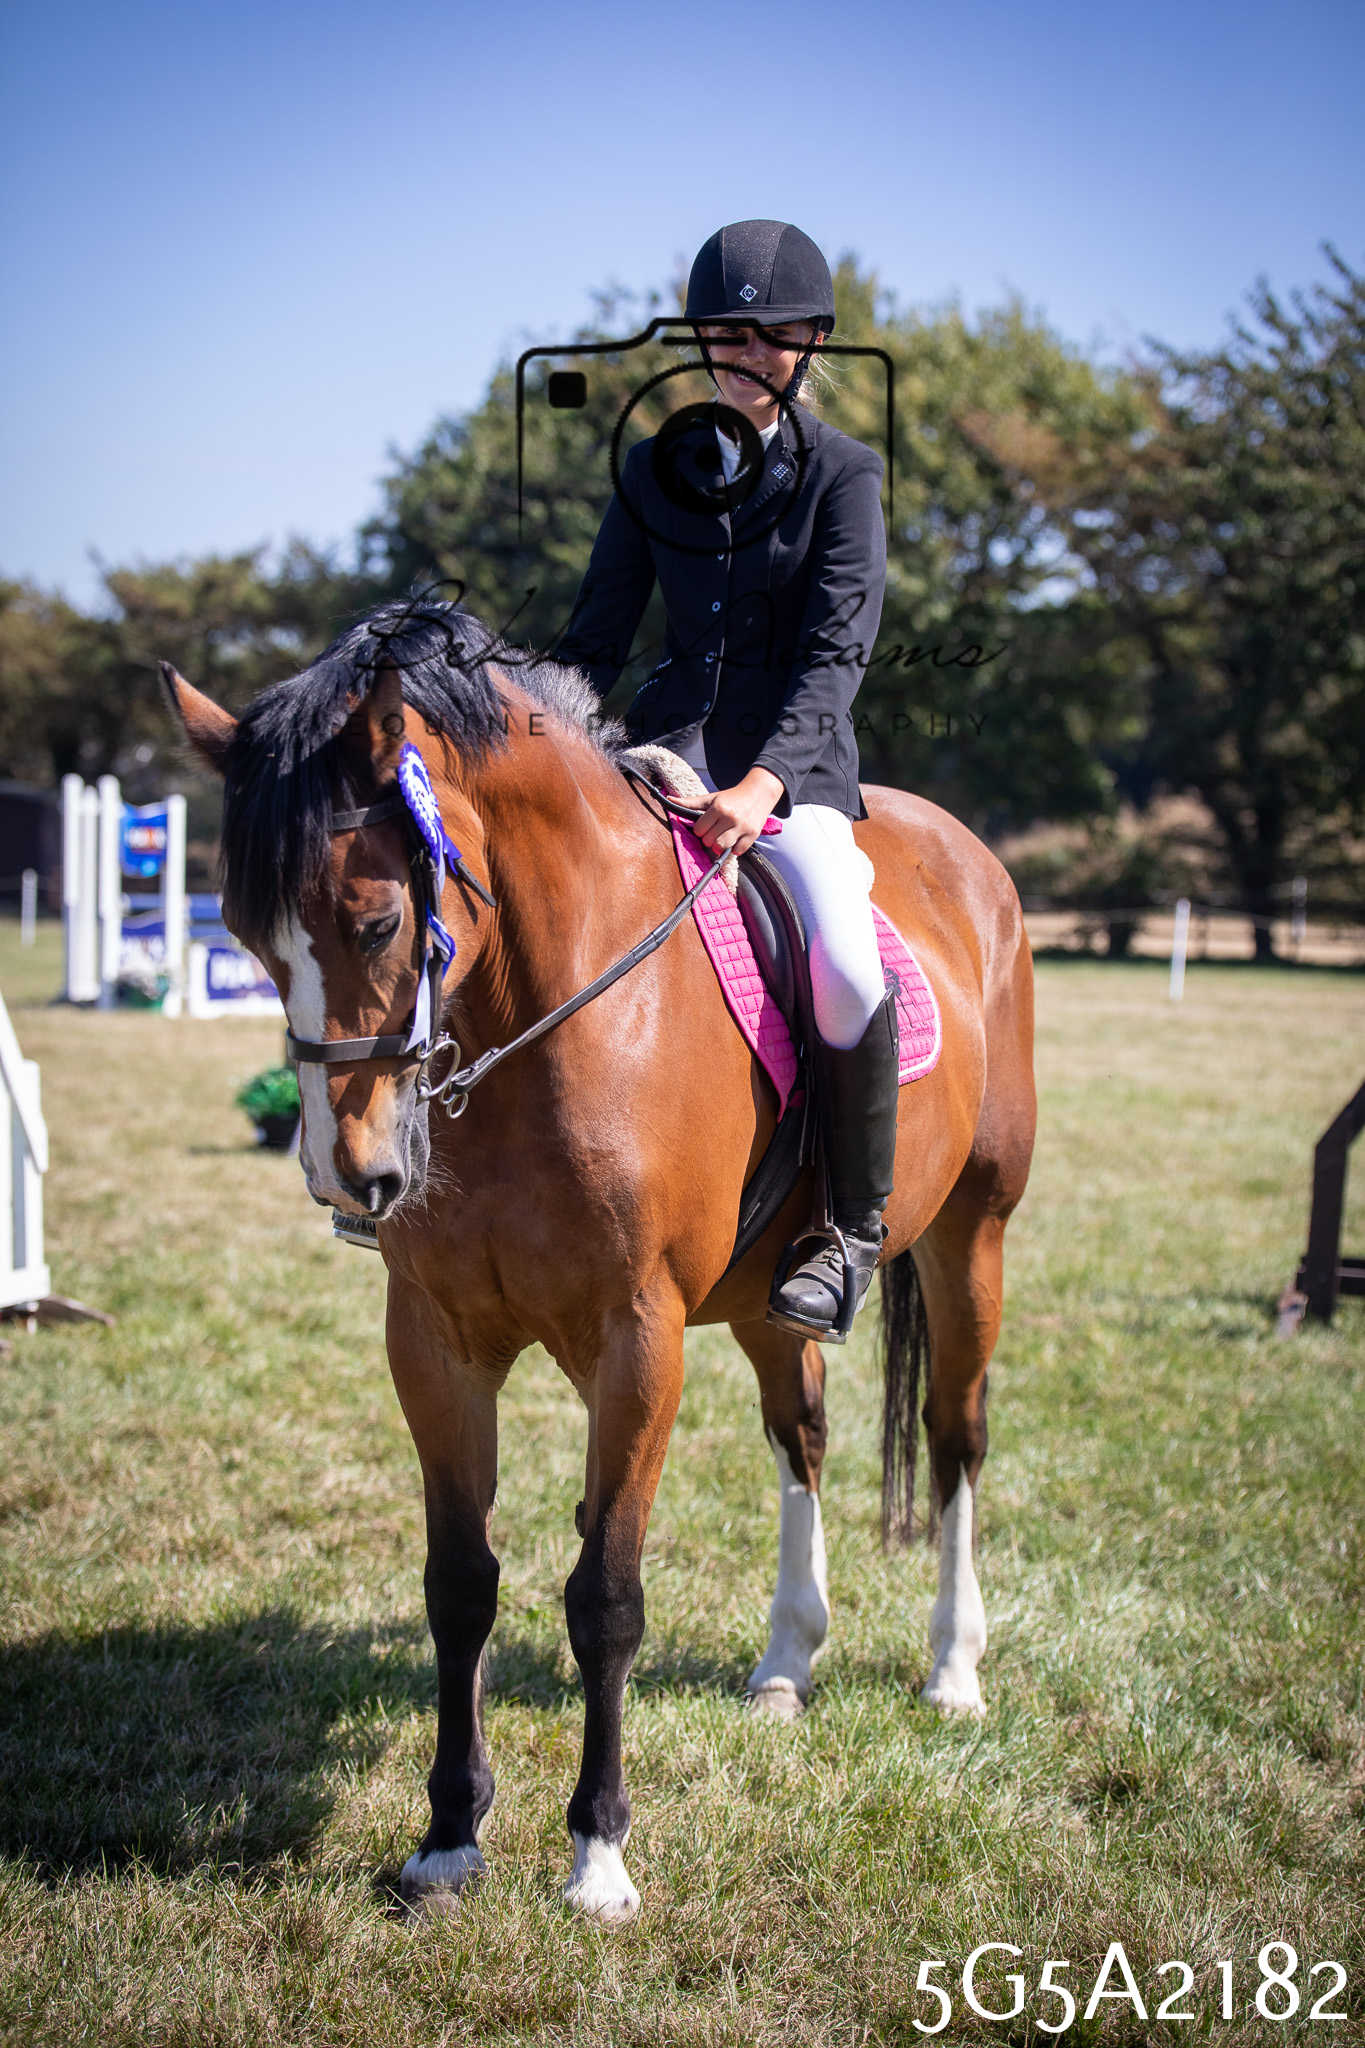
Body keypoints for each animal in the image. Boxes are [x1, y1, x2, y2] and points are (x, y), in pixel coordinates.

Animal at [163, 597, 1035, 1925]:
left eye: (376, 921)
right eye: (249, 938)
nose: (348, 1176)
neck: (540, 1019)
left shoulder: (638, 1341)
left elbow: (605, 1594)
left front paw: (598, 1855)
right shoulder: (436, 1342)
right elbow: (461, 1582)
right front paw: (447, 1839)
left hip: (968, 1233)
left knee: (955, 1434)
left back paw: (952, 1670)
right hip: (770, 1300)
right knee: (803, 1435)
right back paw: (786, 1663)